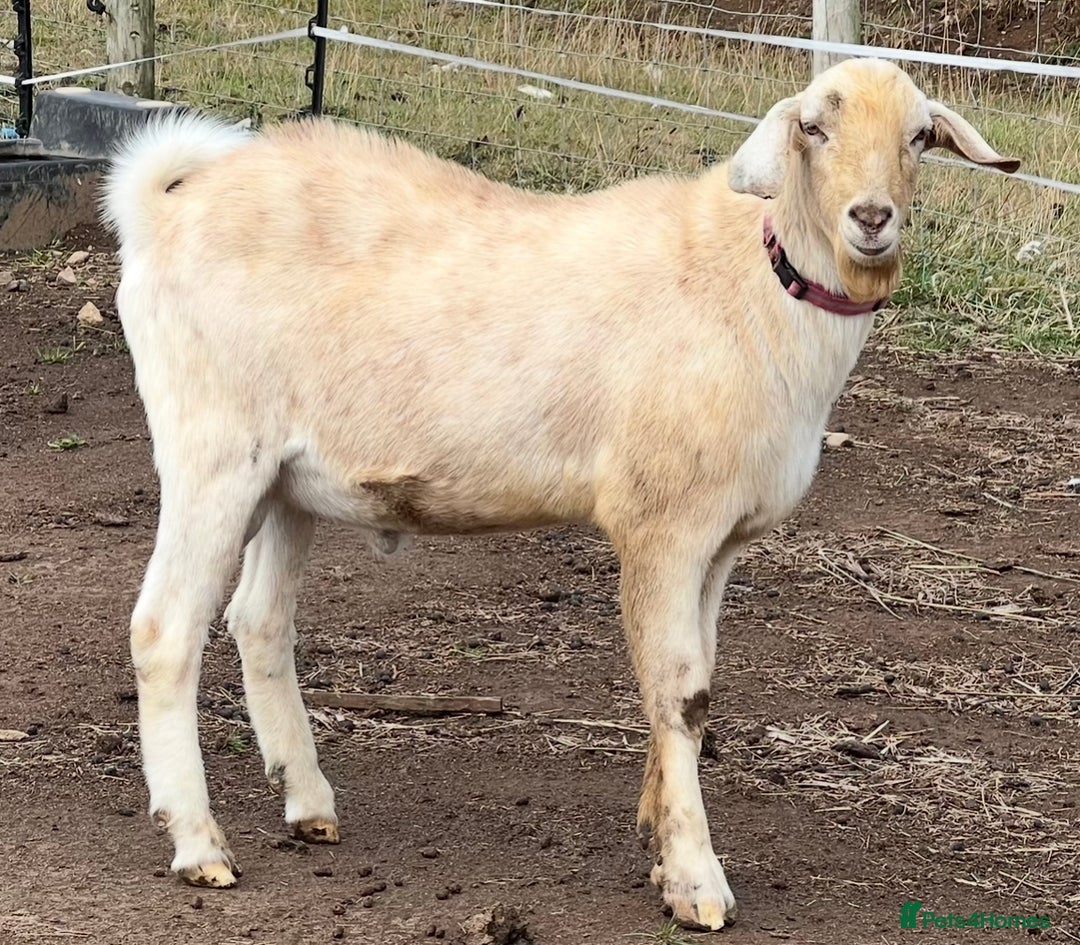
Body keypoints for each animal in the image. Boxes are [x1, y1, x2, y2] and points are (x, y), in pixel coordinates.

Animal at [102, 57, 1017, 929]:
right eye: (813, 128)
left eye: (920, 136)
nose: (872, 218)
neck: (756, 285)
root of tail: (165, 210)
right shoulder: (663, 522)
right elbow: (680, 689)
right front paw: (696, 881)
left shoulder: (719, 540)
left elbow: (694, 684)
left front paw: (657, 837)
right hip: (211, 449)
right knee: (164, 630)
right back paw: (198, 842)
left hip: (289, 479)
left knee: (259, 620)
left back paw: (308, 802)